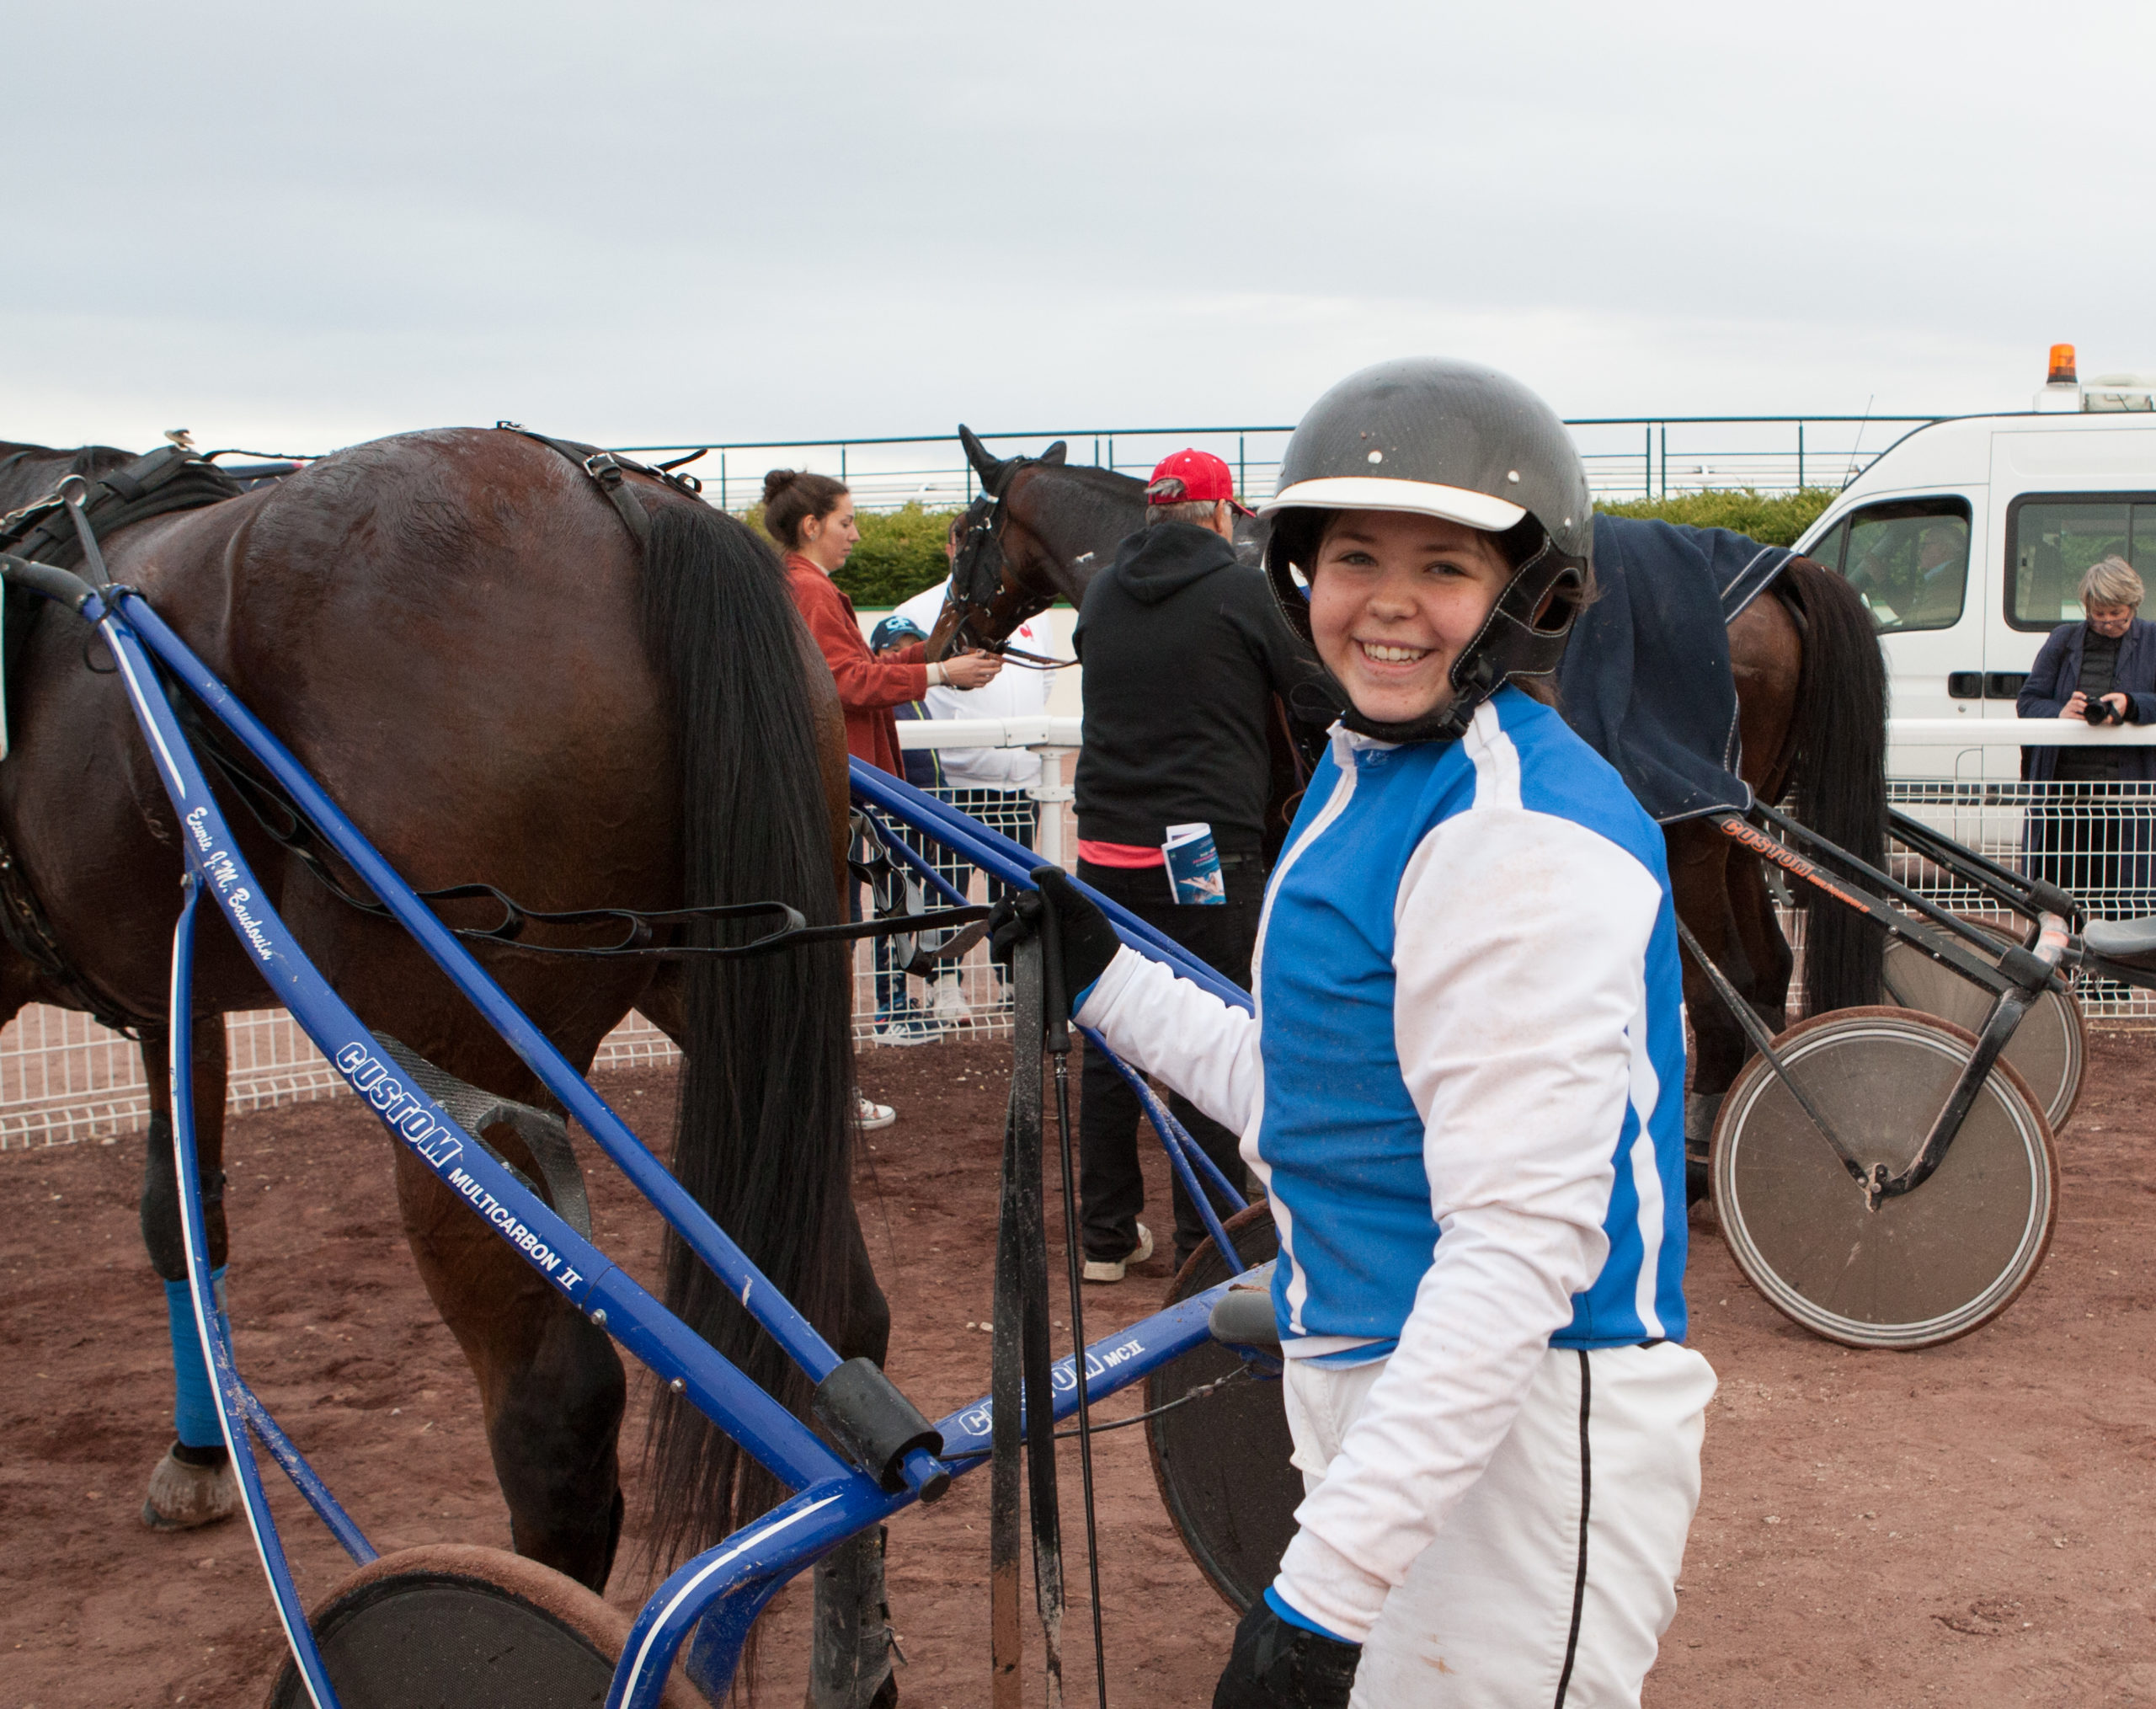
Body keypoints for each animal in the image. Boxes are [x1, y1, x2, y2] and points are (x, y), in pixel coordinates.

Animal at [0, 437, 892, 1680]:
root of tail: (615, 503)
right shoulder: (177, 988)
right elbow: (184, 1214)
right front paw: (198, 1454)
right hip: (714, 994)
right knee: (844, 1317)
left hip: (459, 1078)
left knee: (556, 1416)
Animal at [931, 433, 1888, 1181]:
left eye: (960, 535)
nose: (947, 642)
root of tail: (1783, 571)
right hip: (1736, 829)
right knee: (1765, 969)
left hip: (1689, 834)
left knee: (1722, 986)